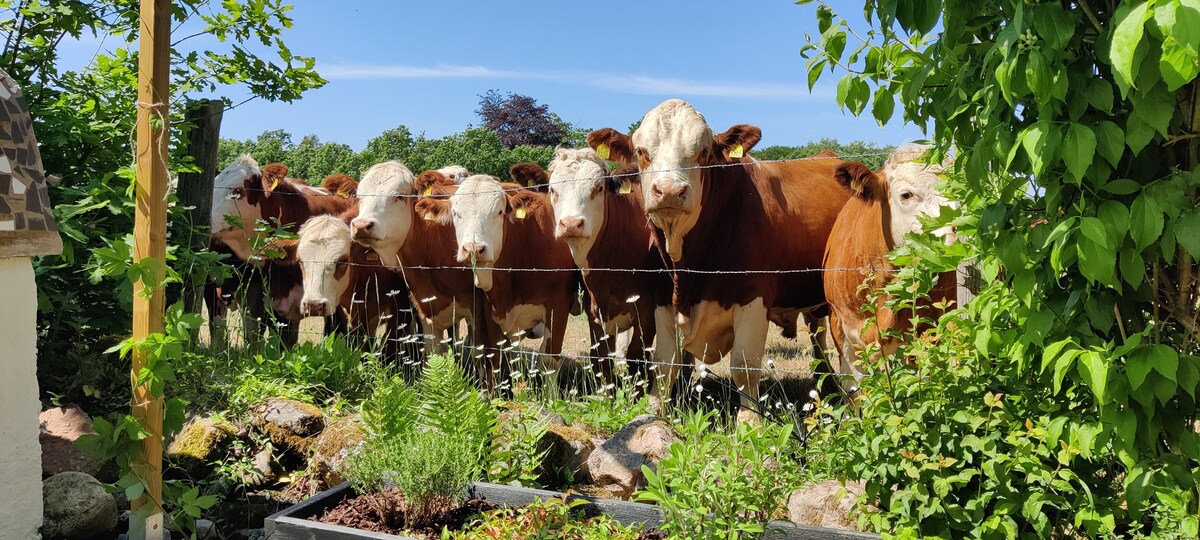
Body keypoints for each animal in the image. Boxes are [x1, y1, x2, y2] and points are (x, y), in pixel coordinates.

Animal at [508, 151, 676, 400]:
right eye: (553, 190)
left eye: (599, 188)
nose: (570, 224)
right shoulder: (595, 309)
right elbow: (601, 358)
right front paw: (607, 397)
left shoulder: (646, 310)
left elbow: (637, 358)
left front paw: (635, 400)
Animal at [585, 100, 849, 422]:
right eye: (641, 152)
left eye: (703, 152)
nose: (669, 191)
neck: (688, 267)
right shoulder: (662, 298)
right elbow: (664, 363)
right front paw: (655, 411)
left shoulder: (754, 298)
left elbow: (744, 366)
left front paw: (749, 422)